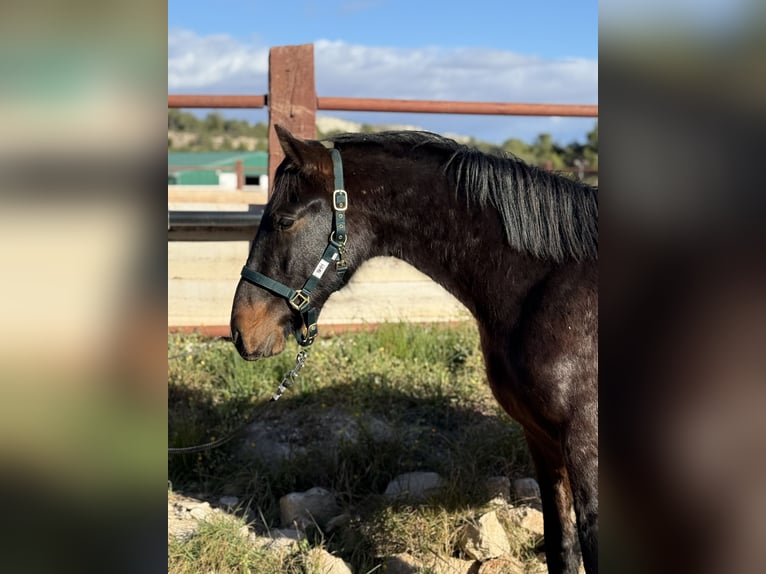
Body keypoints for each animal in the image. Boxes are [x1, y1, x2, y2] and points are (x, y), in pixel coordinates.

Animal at [230, 125, 598, 574]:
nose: (242, 329)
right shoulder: (542, 440)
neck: (547, 287)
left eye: (285, 220)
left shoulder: (585, 447)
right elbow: (561, 545)